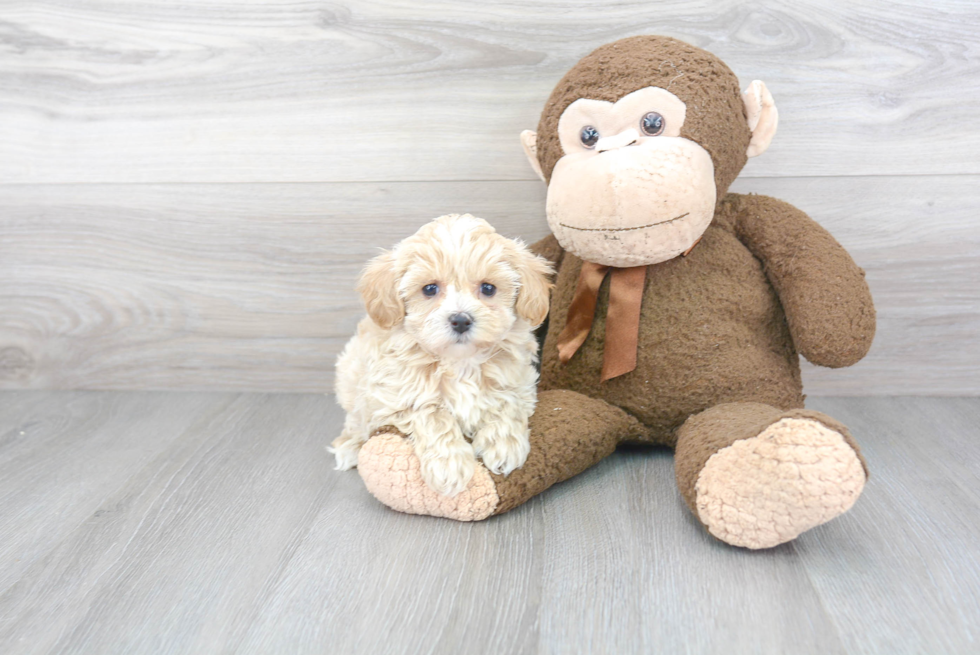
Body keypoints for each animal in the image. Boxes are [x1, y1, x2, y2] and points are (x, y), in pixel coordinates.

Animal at [330, 215, 552, 498]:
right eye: (429, 289)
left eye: (488, 288)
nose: (460, 320)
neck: (461, 362)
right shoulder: (396, 396)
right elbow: (431, 414)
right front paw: (450, 466)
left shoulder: (519, 383)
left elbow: (506, 403)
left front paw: (503, 446)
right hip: (351, 377)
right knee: (355, 420)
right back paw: (350, 447)